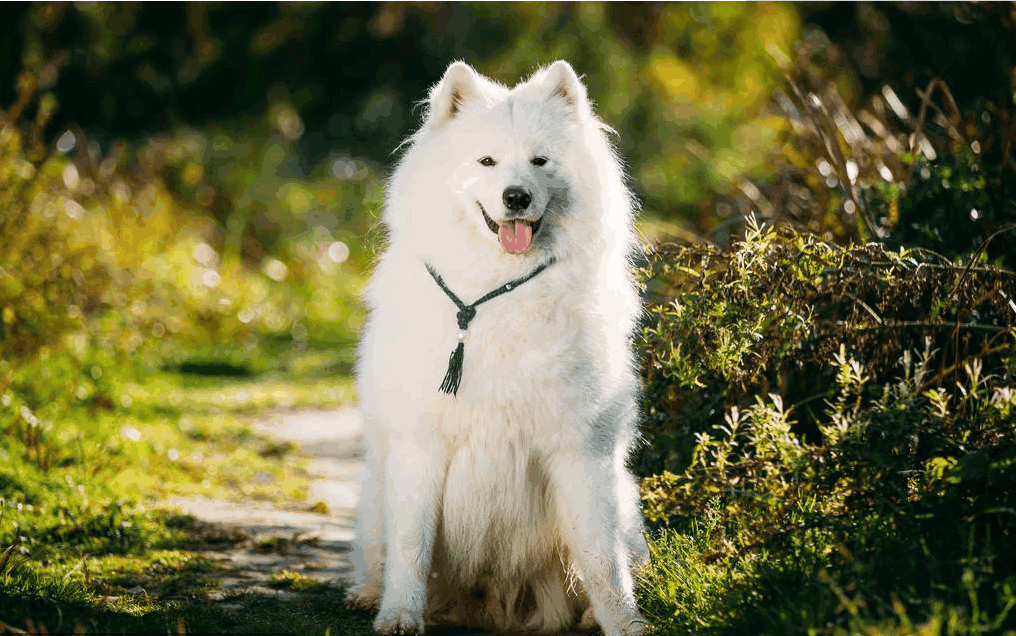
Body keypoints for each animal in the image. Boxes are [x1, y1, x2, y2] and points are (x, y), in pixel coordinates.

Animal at [349, 59, 650, 633]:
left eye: (540, 160)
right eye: (486, 161)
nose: (516, 197)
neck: (498, 296)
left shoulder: (581, 450)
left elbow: (602, 559)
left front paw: (625, 623)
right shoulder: (420, 444)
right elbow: (410, 546)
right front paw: (400, 613)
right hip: (374, 492)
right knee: (376, 552)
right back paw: (366, 594)